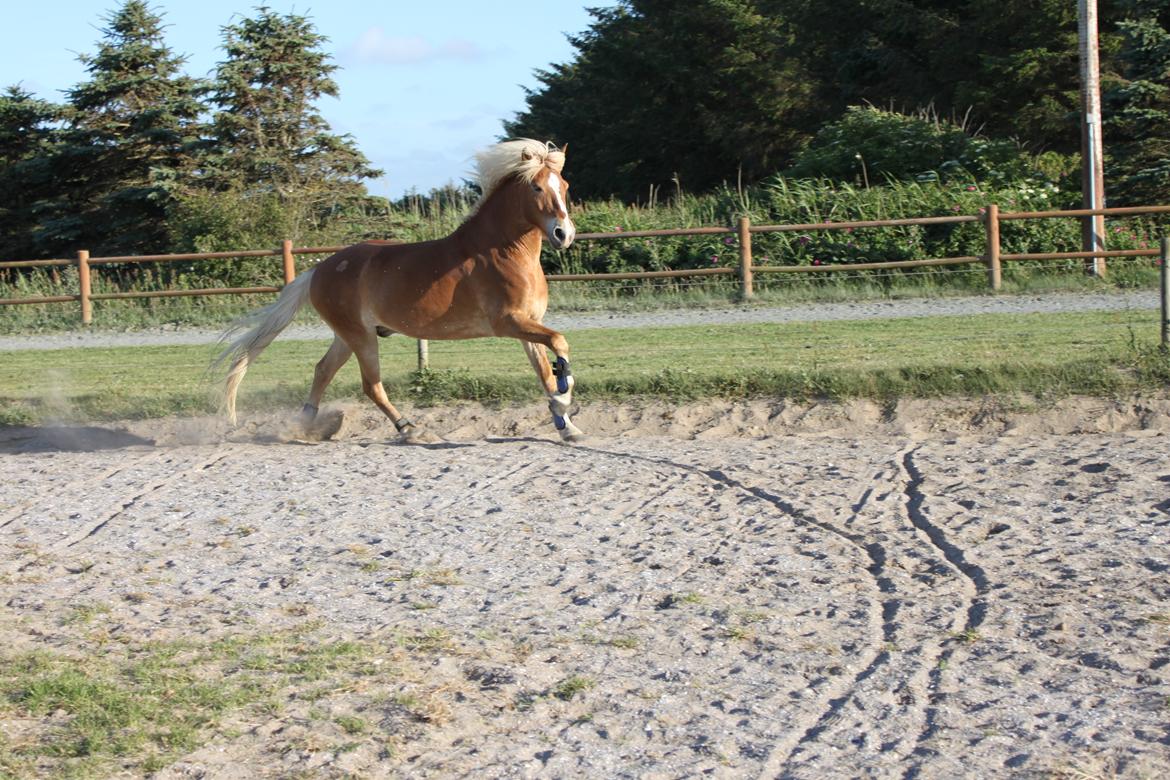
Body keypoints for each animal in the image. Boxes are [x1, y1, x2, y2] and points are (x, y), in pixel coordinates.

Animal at [214, 138, 580, 439]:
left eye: (563, 184)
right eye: (536, 188)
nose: (564, 234)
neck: (500, 252)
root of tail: (319, 269)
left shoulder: (527, 326)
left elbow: (547, 372)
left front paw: (567, 425)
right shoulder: (508, 322)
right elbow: (560, 344)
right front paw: (564, 400)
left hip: (347, 336)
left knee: (322, 371)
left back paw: (307, 426)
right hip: (360, 337)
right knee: (371, 385)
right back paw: (408, 428)